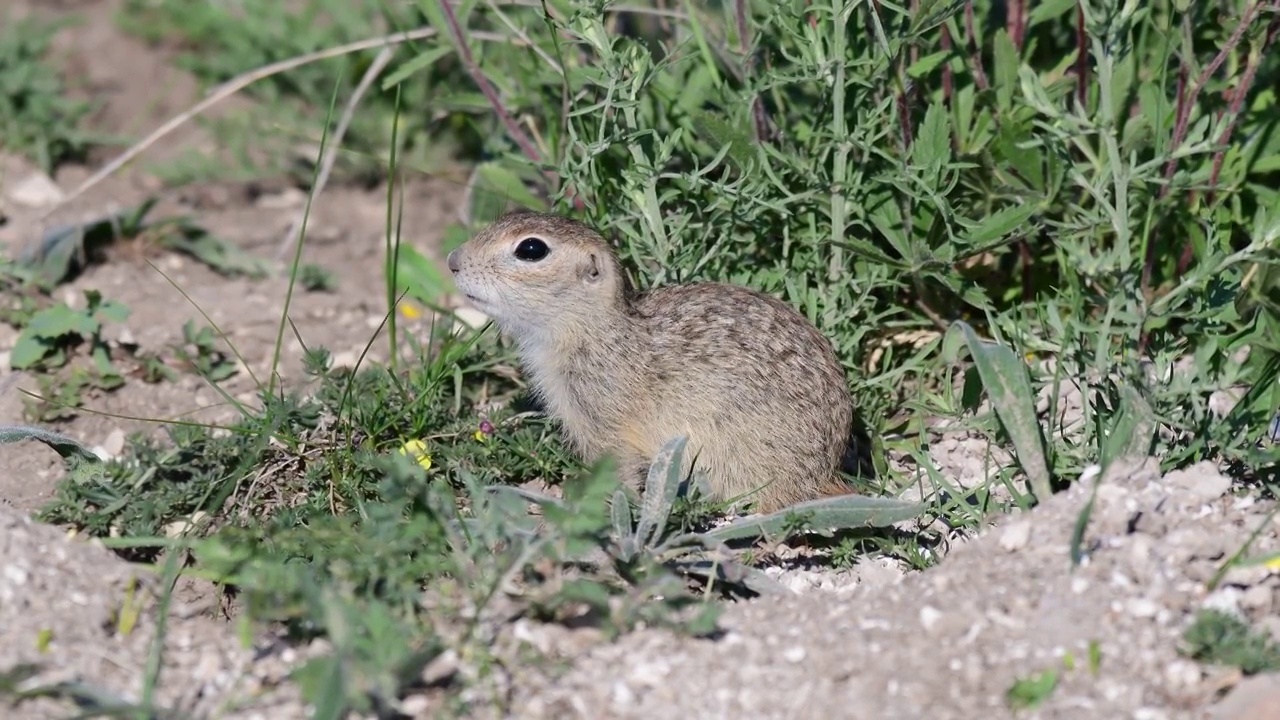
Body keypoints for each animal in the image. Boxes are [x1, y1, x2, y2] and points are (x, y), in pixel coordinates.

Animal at [448, 207, 860, 509]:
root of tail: (823, 474)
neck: (595, 331)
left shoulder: (608, 425)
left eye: (531, 250)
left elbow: (620, 468)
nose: (453, 260)